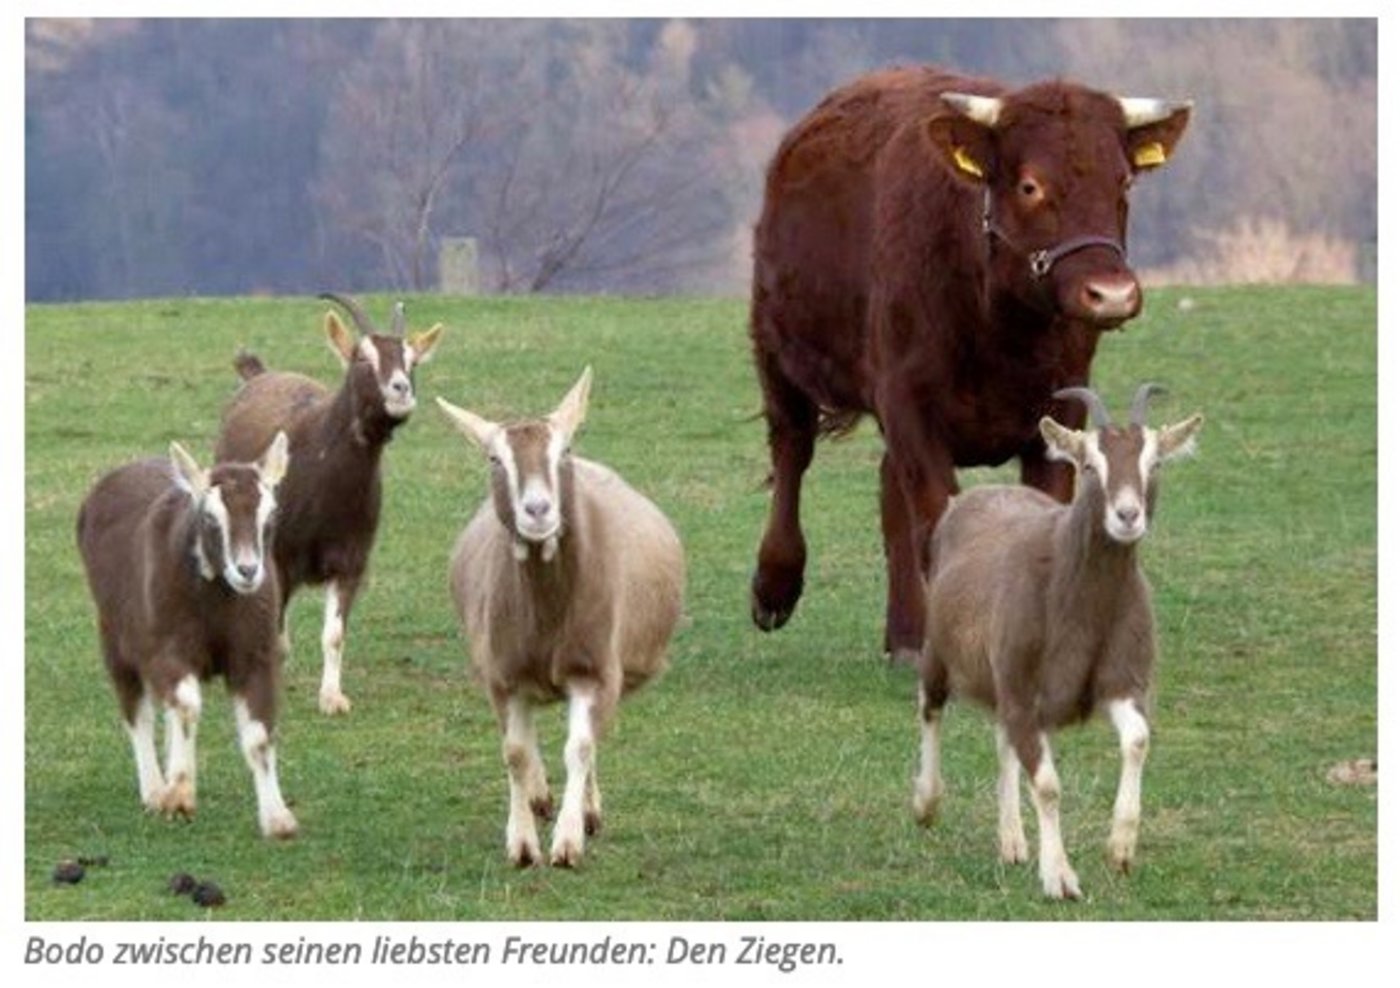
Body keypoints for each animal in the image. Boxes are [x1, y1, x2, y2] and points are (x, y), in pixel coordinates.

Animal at [77, 433, 298, 838]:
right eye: (210, 518)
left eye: (271, 515)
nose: (247, 571)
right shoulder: (166, 650)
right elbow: (186, 705)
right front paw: (178, 795)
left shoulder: (256, 655)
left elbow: (259, 736)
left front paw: (277, 818)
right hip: (114, 636)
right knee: (137, 712)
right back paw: (154, 789)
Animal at [215, 293, 443, 714]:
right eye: (363, 358)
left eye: (412, 360)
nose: (401, 390)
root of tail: (258, 375)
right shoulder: (280, 557)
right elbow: (277, 634)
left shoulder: (351, 562)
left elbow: (334, 634)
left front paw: (332, 697)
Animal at [437, 368, 685, 868]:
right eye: (495, 458)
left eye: (563, 451)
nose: (538, 511)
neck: (547, 614)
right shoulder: (503, 676)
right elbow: (514, 752)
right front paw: (522, 843)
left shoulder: (594, 670)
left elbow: (581, 748)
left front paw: (568, 842)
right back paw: (538, 797)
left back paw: (584, 810)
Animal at [911, 384, 1203, 899]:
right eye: (1088, 465)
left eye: (1154, 463)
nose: (1127, 515)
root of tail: (974, 496)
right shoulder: (1023, 691)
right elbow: (1048, 785)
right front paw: (1060, 877)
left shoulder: (1120, 682)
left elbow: (1138, 740)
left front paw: (1120, 849)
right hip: (940, 652)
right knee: (931, 706)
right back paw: (926, 802)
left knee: (1003, 739)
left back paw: (1012, 842)